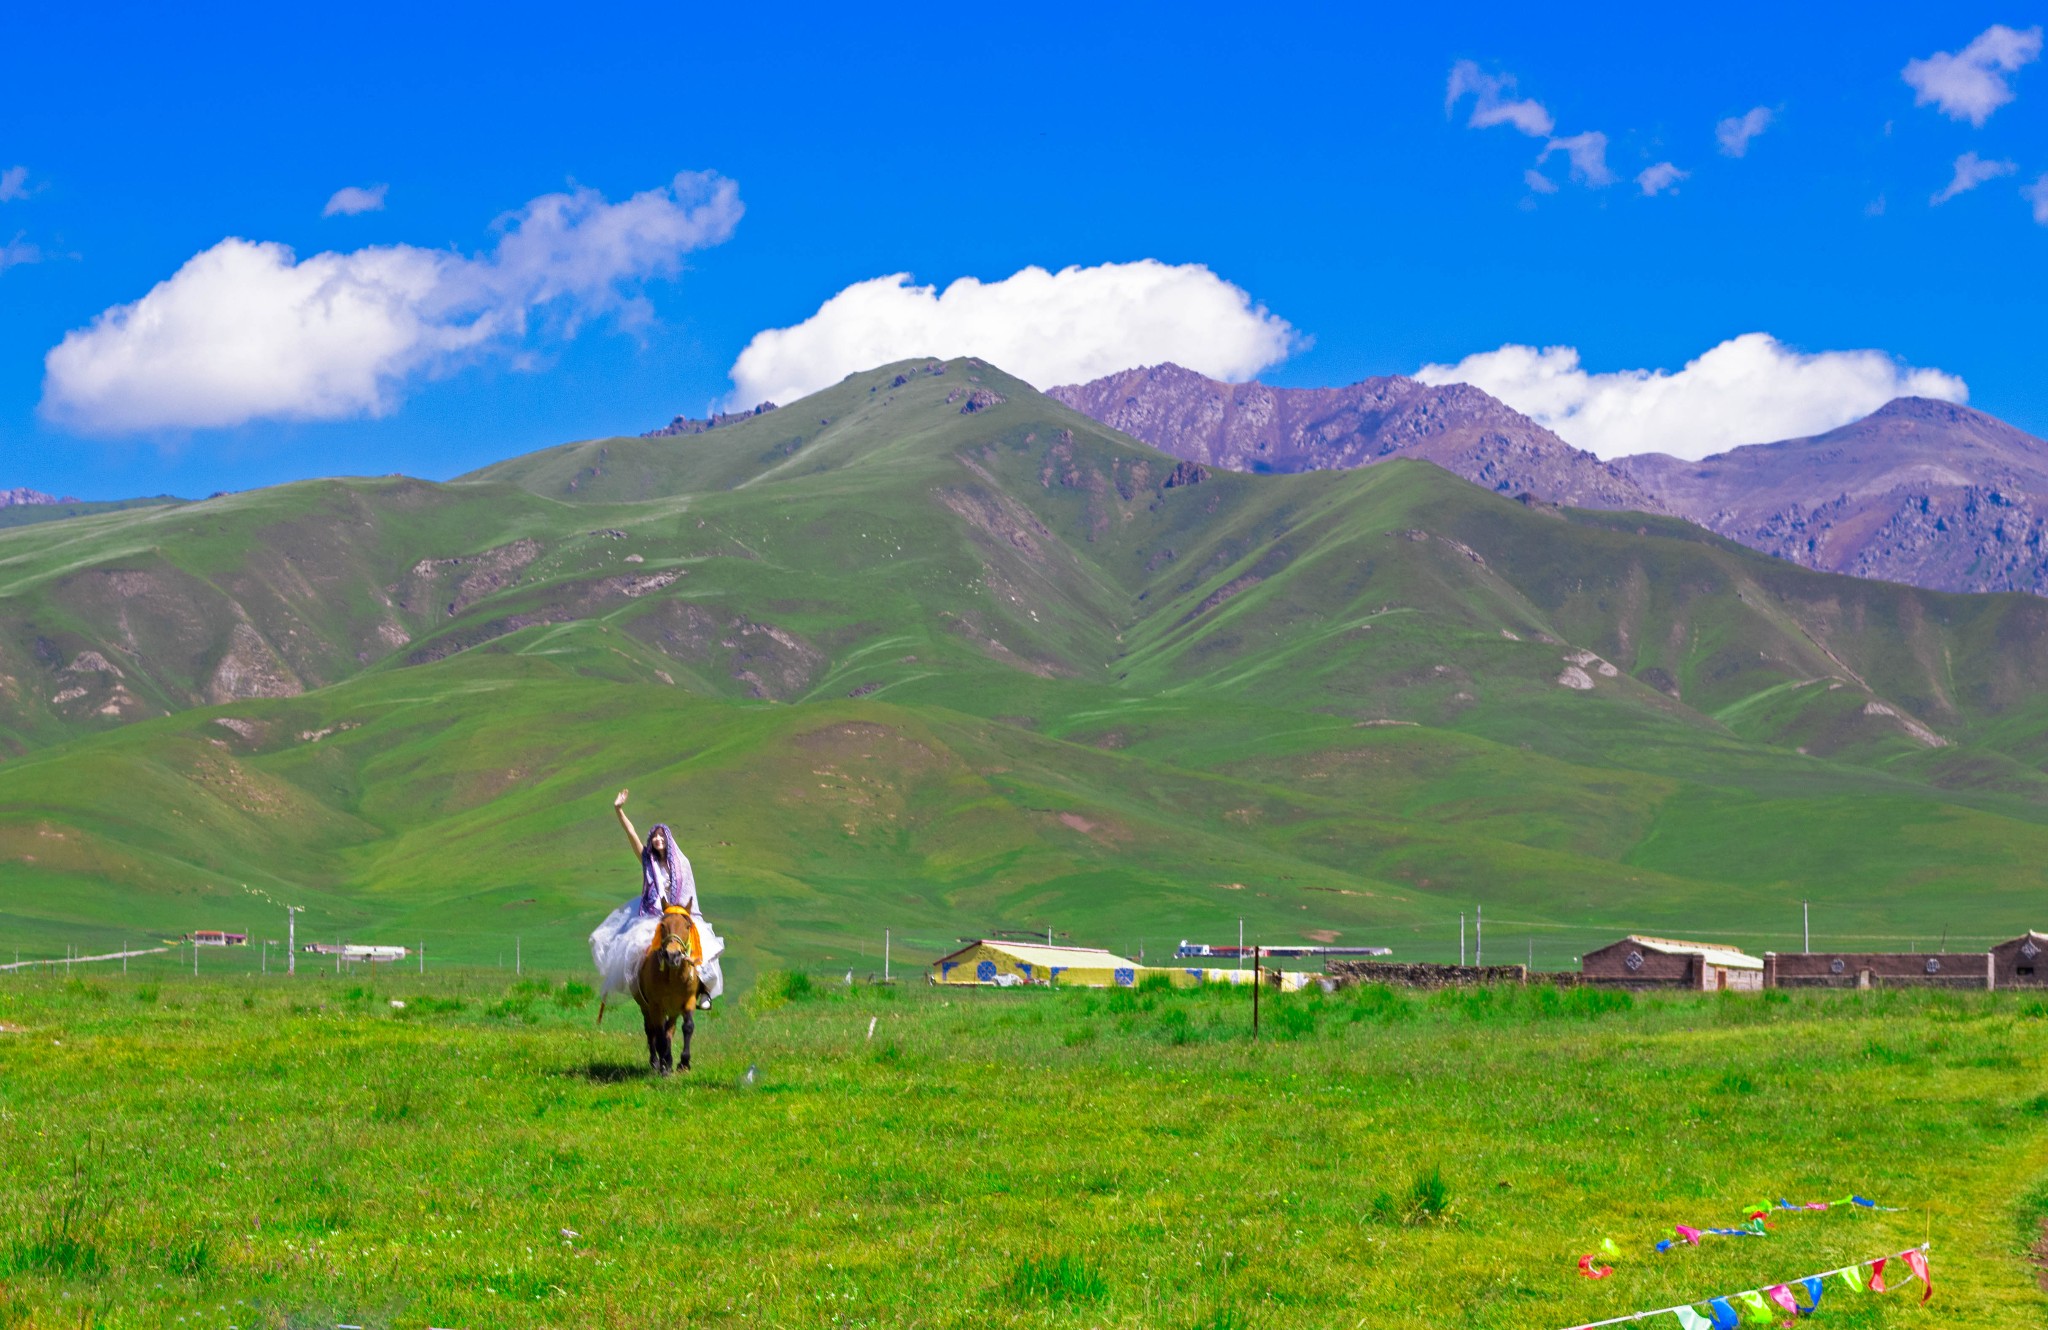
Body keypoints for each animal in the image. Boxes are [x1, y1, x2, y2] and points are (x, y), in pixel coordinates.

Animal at [630, 897, 704, 1073]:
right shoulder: (655, 1005)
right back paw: (656, 1062)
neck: (673, 977)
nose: (672, 955)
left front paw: (684, 1063)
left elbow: (688, 1027)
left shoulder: (688, 1000)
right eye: (662, 925)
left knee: (670, 1029)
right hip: (646, 1006)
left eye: (687, 926)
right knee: (651, 1030)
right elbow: (659, 1033)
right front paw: (664, 1065)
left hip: (673, 1009)